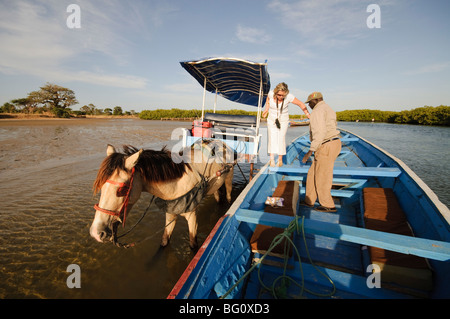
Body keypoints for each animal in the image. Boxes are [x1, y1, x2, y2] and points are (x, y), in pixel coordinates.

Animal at [89, 140, 234, 250]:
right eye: (101, 186)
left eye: (122, 189)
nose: (96, 233)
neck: (179, 183)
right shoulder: (170, 213)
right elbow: (164, 241)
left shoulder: (192, 215)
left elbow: (193, 245)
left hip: (229, 178)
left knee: (228, 194)